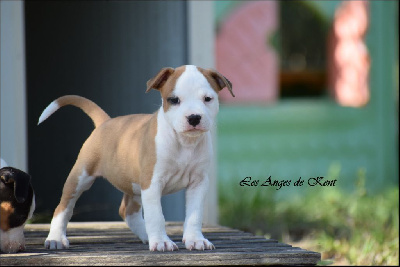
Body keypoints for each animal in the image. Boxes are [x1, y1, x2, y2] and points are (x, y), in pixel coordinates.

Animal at [38, 66, 233, 252]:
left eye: (208, 98)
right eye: (174, 100)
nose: (194, 118)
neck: (184, 143)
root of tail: (105, 122)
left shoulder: (198, 183)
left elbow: (194, 215)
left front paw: (196, 239)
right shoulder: (151, 183)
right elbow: (156, 216)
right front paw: (161, 242)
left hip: (134, 186)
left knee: (127, 211)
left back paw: (146, 235)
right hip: (81, 177)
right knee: (63, 207)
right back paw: (56, 238)